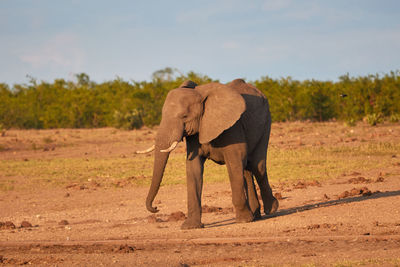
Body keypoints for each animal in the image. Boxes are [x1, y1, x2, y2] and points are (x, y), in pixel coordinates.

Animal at [141, 78, 278, 229]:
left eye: (184, 116)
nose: (156, 208)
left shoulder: (233, 126)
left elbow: (235, 162)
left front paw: (243, 220)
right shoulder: (196, 133)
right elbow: (193, 168)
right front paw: (190, 227)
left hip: (266, 122)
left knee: (257, 166)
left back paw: (271, 209)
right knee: (247, 168)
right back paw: (255, 215)